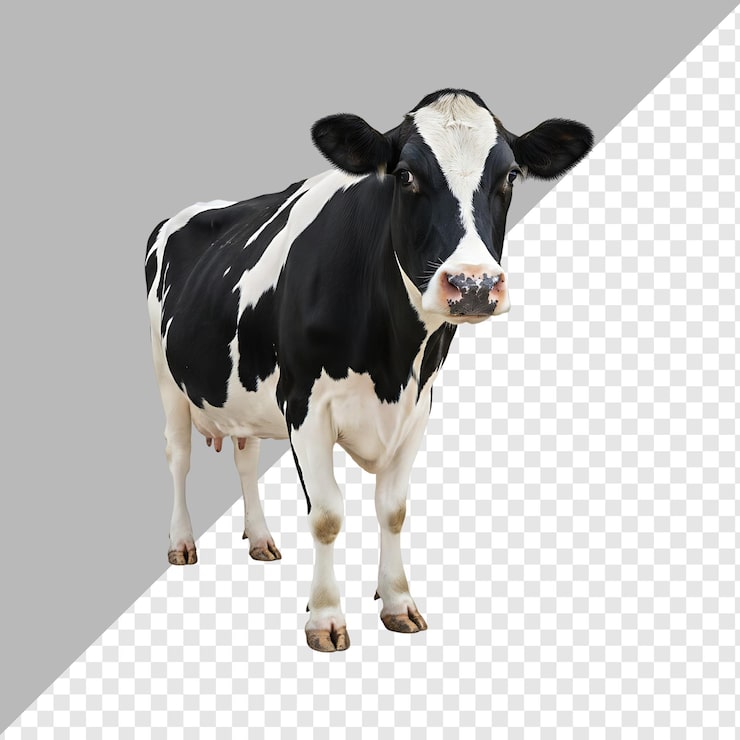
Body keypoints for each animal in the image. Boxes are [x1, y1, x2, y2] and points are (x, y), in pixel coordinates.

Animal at [145, 89, 593, 651]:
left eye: (510, 175)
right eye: (404, 174)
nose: (472, 284)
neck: (392, 360)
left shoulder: (417, 408)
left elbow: (393, 510)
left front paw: (397, 601)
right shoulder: (305, 405)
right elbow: (327, 515)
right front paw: (325, 617)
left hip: (240, 392)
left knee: (245, 457)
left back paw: (262, 539)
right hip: (166, 379)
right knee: (177, 457)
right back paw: (182, 543)